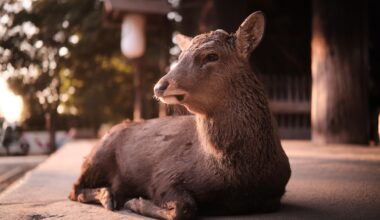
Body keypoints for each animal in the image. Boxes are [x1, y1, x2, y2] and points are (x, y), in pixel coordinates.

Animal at [68, 11, 290, 220]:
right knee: (74, 189)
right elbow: (184, 208)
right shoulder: (165, 174)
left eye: (211, 56)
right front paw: (136, 202)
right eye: (180, 56)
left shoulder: (275, 192)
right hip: (98, 156)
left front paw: (135, 202)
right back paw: (109, 196)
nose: (159, 86)